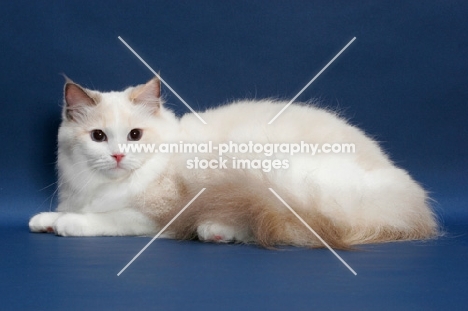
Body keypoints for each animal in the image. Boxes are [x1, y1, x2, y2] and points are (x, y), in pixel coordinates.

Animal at [29, 77, 438, 249]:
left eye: (134, 135)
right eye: (99, 137)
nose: (117, 156)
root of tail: (408, 199)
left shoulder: (158, 213)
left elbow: (102, 220)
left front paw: (66, 225)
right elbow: (61, 212)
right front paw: (43, 221)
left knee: (287, 229)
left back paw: (214, 230)